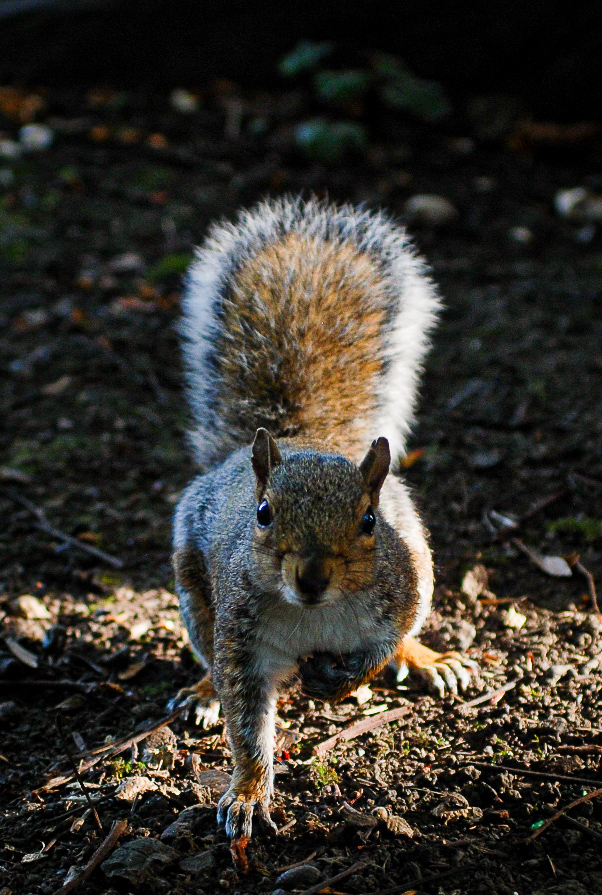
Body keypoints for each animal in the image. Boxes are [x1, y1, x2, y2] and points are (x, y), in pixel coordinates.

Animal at [171, 196, 476, 840]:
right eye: (262, 513)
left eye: (369, 521)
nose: (311, 578)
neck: (315, 617)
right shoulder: (243, 641)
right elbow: (248, 726)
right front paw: (247, 793)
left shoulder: (398, 596)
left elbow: (380, 649)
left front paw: (346, 679)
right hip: (193, 588)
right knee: (208, 654)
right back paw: (204, 691)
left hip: (425, 572)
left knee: (405, 640)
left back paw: (429, 660)